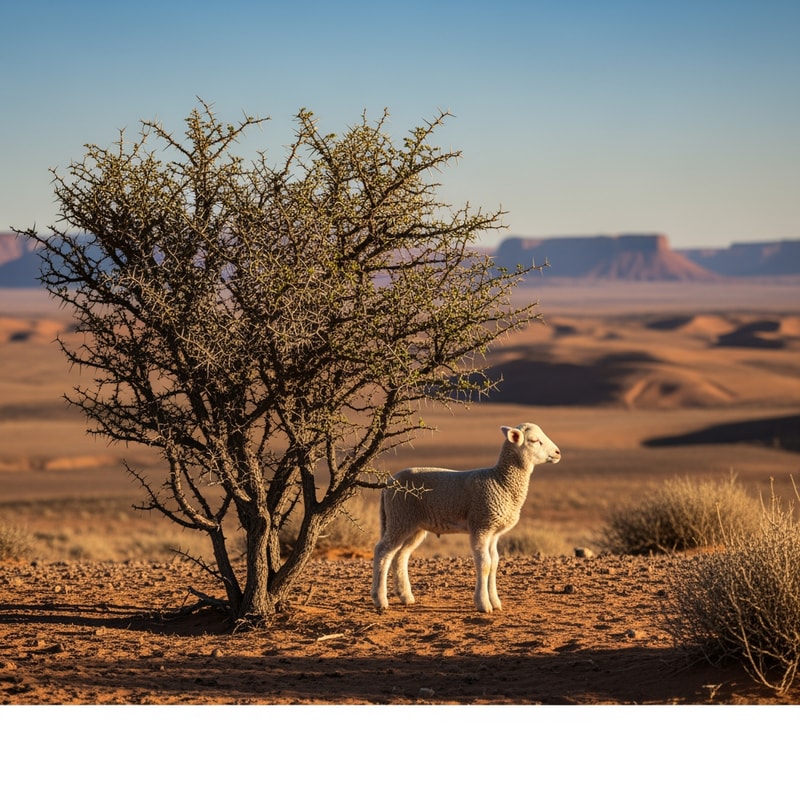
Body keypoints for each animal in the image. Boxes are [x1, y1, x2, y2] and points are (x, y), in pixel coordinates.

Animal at [371, 422, 561, 613]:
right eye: (534, 440)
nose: (558, 452)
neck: (500, 481)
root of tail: (388, 484)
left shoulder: (494, 532)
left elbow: (494, 563)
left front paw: (495, 602)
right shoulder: (481, 525)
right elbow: (484, 564)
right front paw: (483, 604)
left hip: (413, 525)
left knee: (400, 556)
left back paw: (406, 597)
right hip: (400, 518)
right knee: (383, 552)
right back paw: (380, 599)